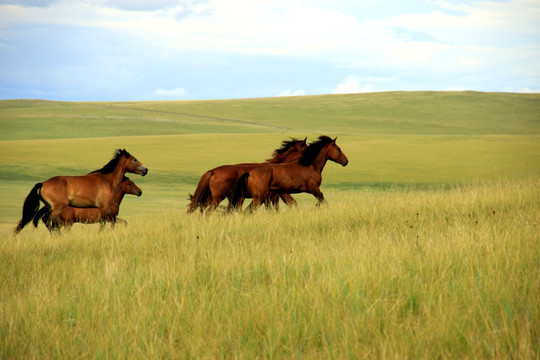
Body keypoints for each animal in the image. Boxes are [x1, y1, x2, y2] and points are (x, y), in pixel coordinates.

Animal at [14, 148, 148, 235]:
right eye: (134, 159)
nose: (145, 170)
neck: (107, 180)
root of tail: (43, 183)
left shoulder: (107, 209)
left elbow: (114, 221)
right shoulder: (104, 207)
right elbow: (103, 224)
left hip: (52, 208)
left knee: (52, 223)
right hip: (58, 208)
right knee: (47, 220)